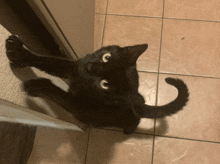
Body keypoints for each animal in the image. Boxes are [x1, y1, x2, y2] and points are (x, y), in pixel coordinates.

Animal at [5, 35, 188, 134]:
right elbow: (48, 61)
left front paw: (38, 85)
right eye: (107, 57)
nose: (90, 67)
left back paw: (128, 130)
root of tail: (141, 104)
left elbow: (60, 94)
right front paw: (18, 52)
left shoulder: (83, 108)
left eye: (105, 84)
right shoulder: (75, 68)